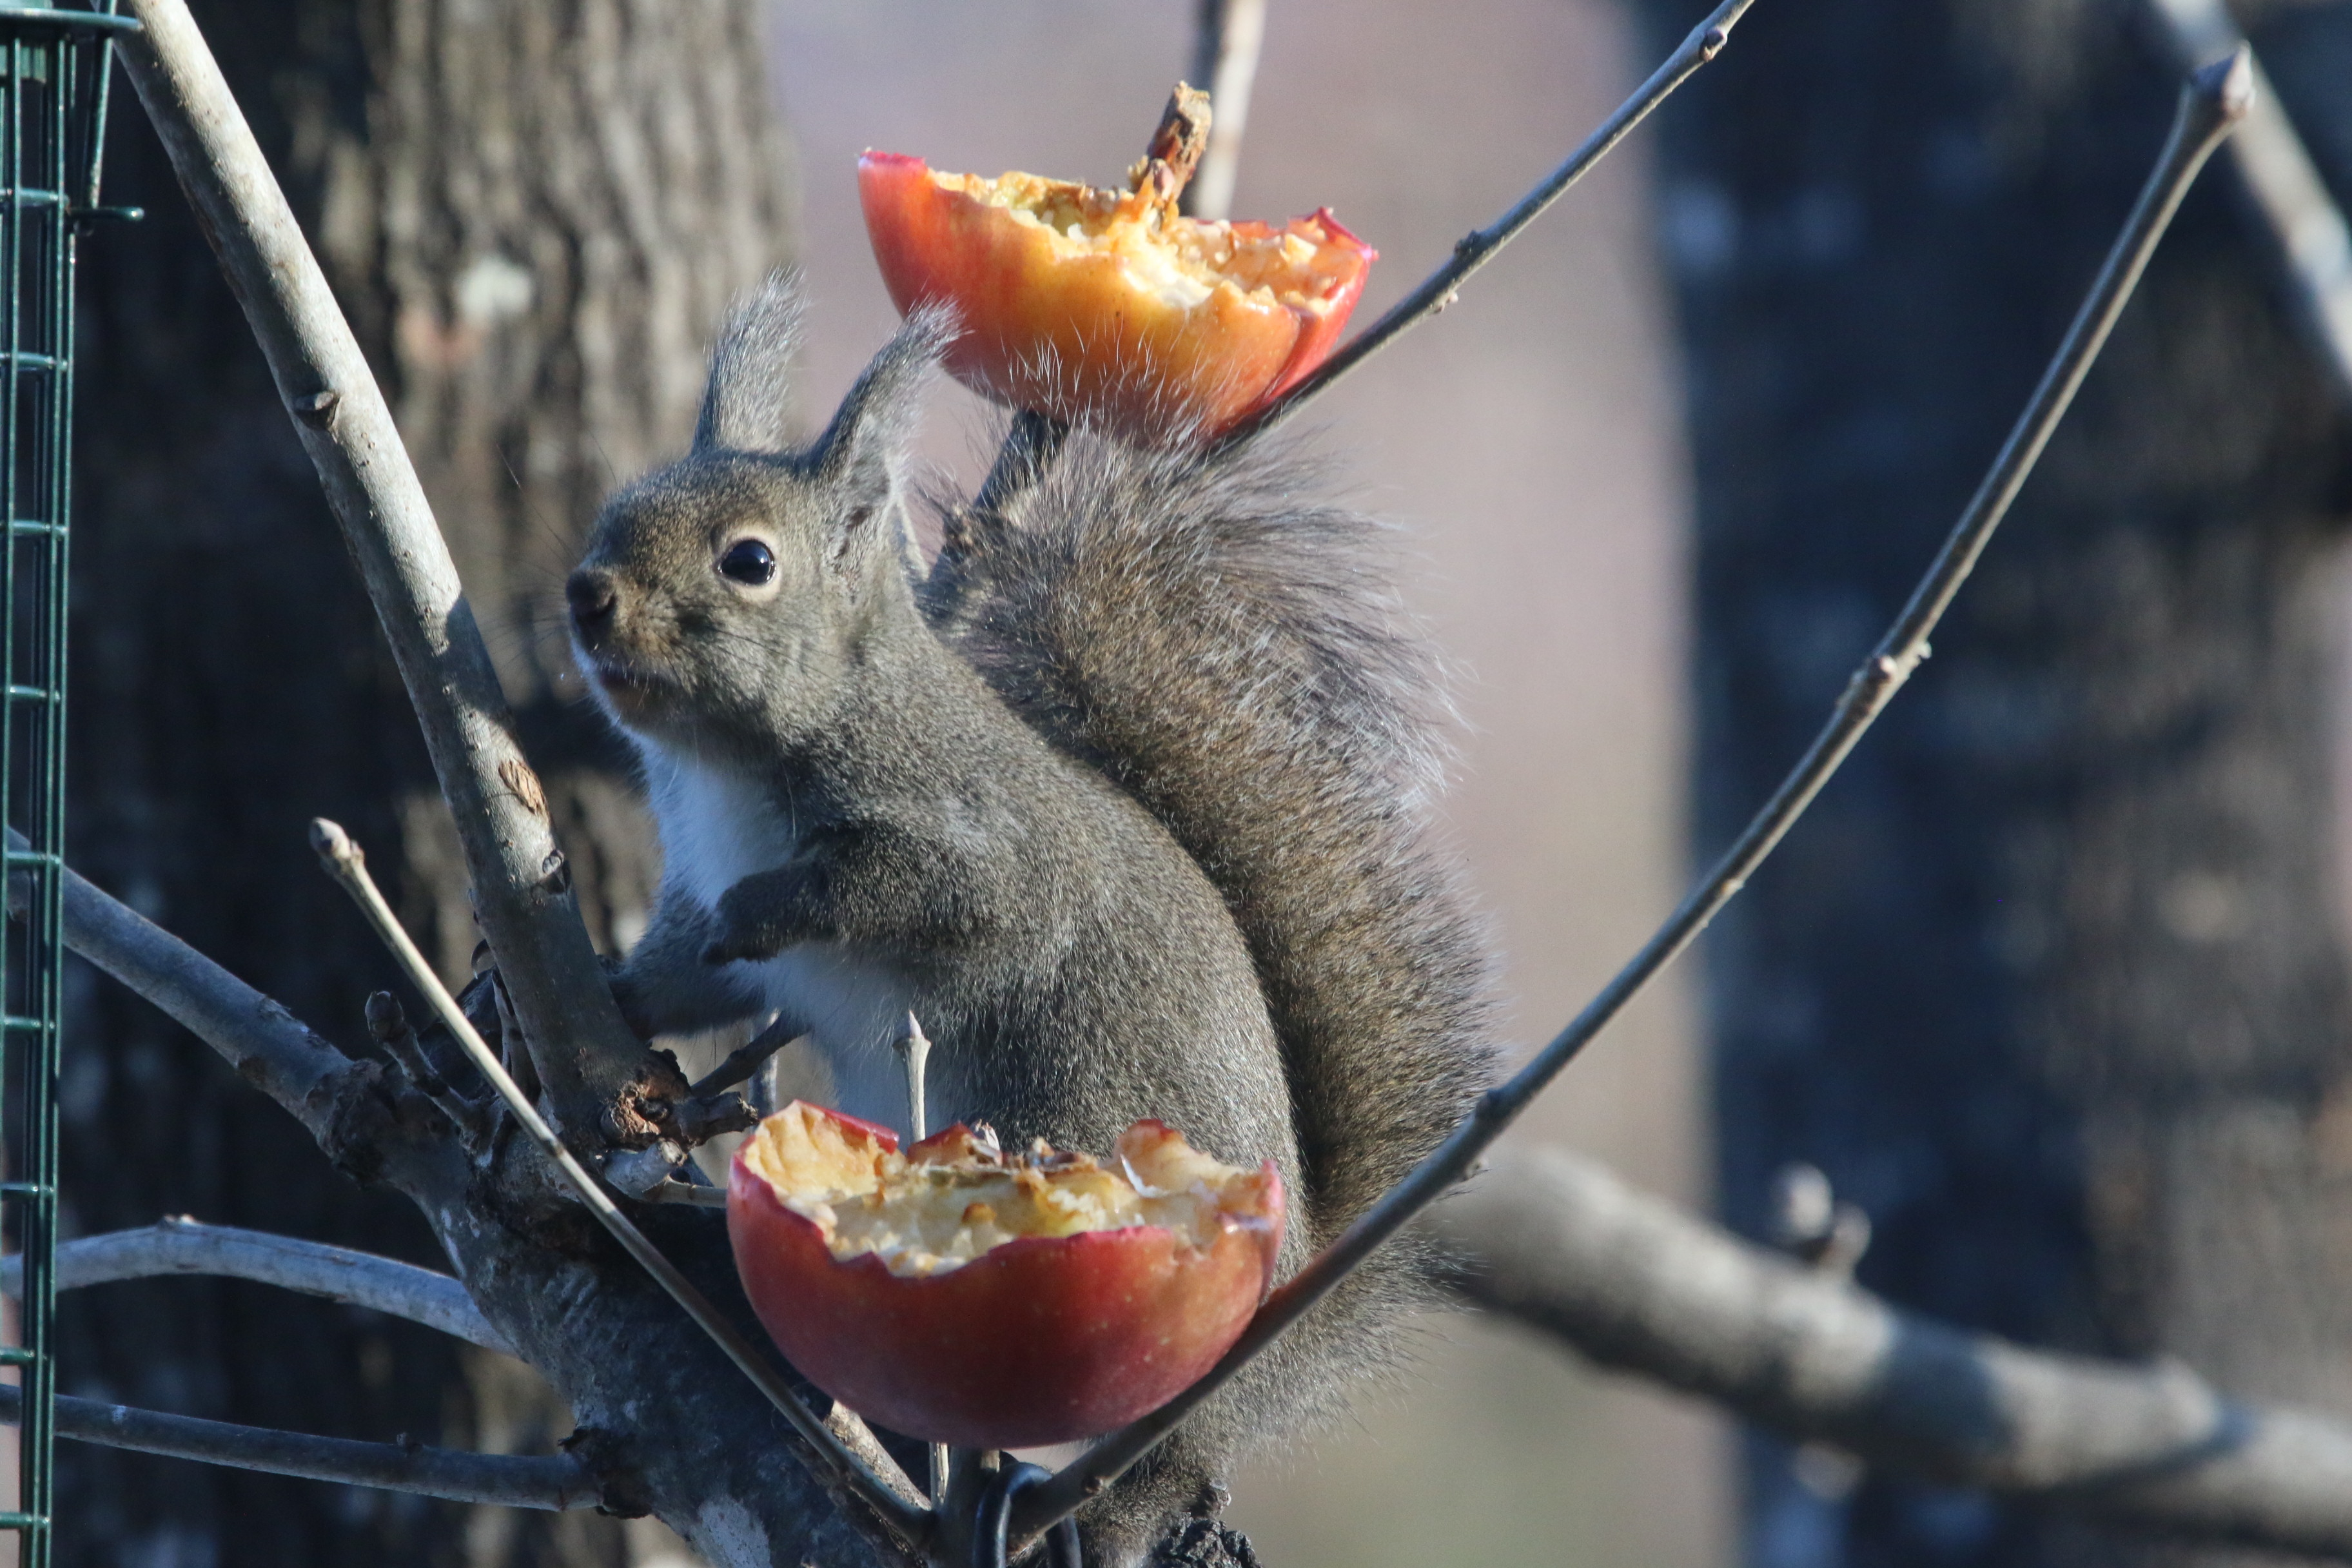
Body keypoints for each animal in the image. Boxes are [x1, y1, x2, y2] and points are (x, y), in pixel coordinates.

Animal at [562, 276, 1496, 1561]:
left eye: (749, 560)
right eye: (615, 511)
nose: (585, 594)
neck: (730, 761)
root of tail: (1281, 1320)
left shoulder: (983, 845)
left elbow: (919, 898)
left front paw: (777, 901)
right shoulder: (693, 880)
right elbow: (691, 974)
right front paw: (582, 986)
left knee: (1173, 1452)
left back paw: (1117, 1504)